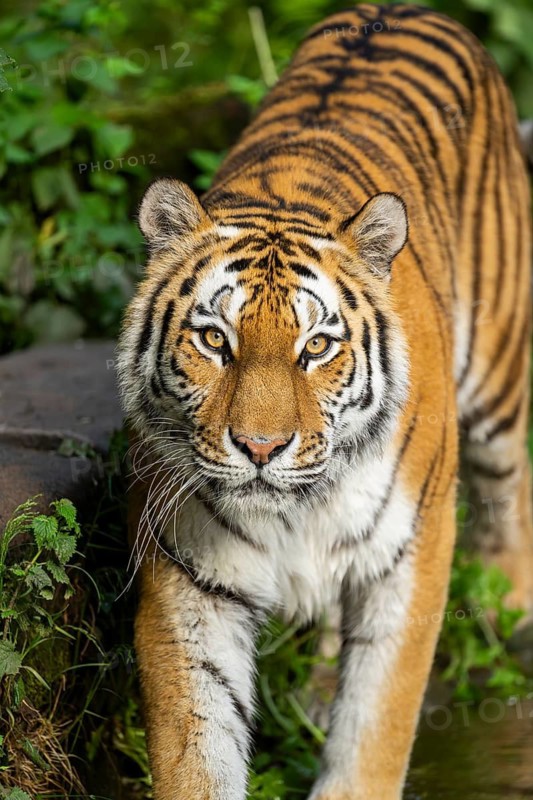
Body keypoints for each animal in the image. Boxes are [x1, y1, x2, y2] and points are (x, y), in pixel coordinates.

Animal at [117, 4, 533, 799]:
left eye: (315, 347)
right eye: (213, 340)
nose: (259, 448)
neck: (299, 510)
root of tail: (402, 8)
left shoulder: (411, 558)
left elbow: (374, 732)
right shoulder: (189, 583)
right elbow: (196, 747)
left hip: (497, 370)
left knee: (507, 488)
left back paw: (510, 606)